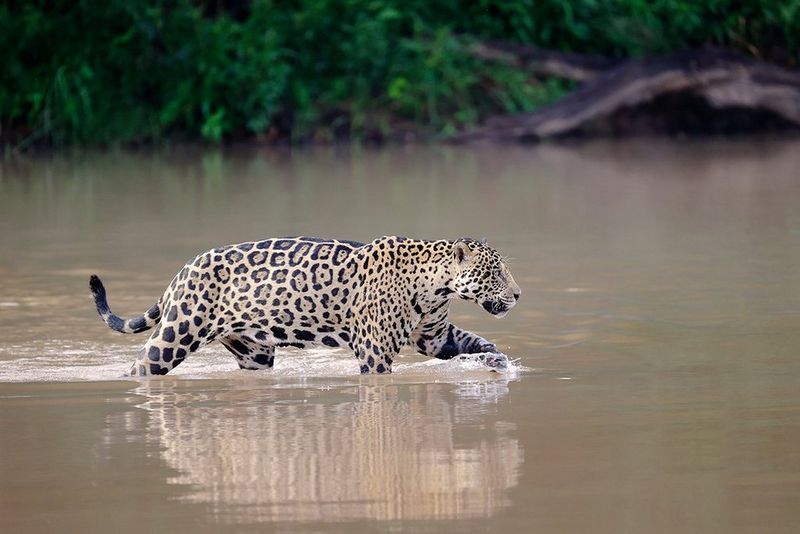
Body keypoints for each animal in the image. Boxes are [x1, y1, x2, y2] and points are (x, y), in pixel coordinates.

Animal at [89, 236, 521, 376]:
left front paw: (497, 359)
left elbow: (472, 342)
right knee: (141, 366)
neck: (437, 287)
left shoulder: (435, 336)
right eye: (496, 272)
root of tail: (180, 272)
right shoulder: (375, 355)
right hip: (176, 334)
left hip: (254, 353)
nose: (518, 295)